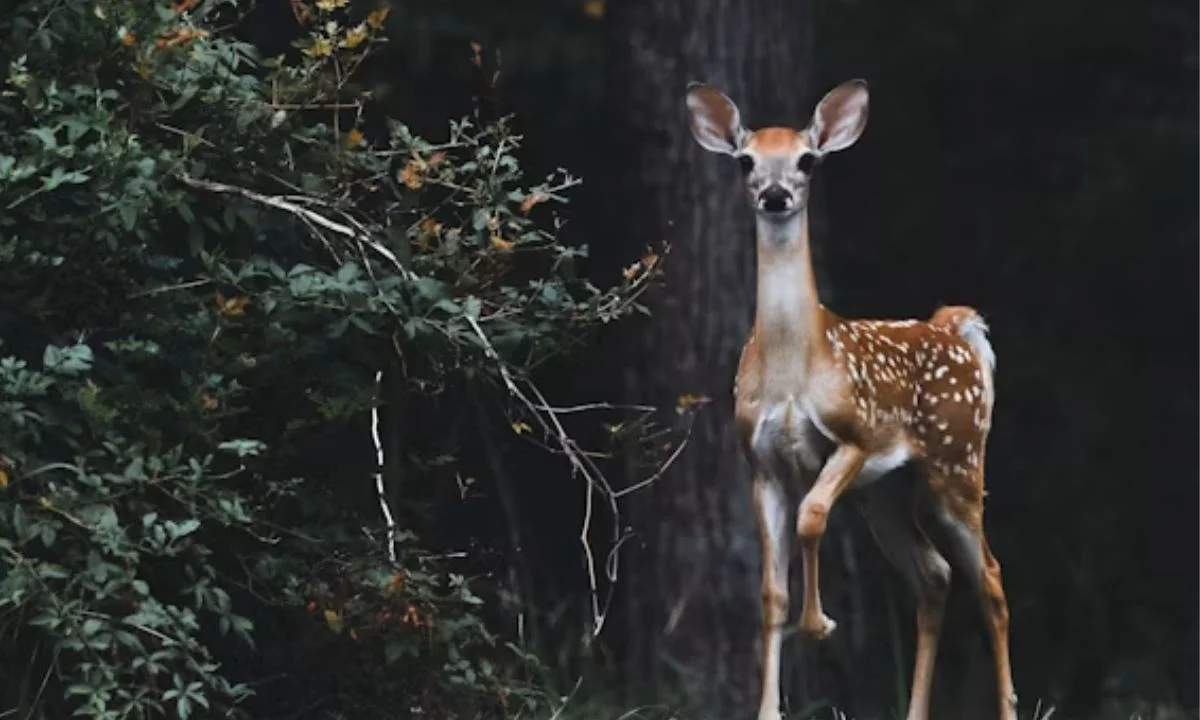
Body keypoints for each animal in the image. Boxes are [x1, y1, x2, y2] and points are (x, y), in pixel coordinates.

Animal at [684, 79, 1017, 720]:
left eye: (807, 160)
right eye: (746, 161)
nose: (776, 195)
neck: (793, 370)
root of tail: (955, 328)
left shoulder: (855, 436)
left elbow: (812, 517)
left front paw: (819, 625)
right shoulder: (760, 463)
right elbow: (770, 589)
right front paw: (769, 708)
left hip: (957, 460)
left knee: (989, 577)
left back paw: (1009, 708)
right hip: (886, 493)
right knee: (934, 574)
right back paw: (914, 712)